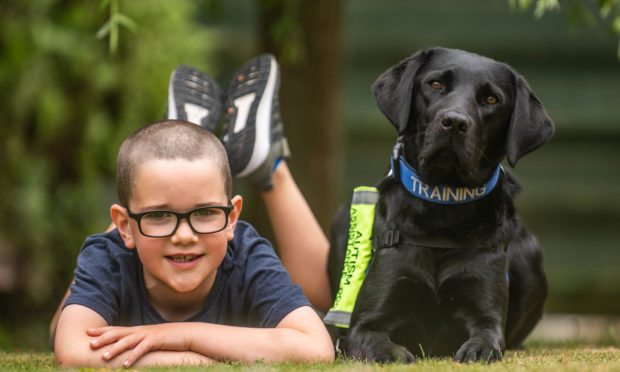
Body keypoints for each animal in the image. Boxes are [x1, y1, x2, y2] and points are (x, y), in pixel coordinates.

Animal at [326, 47, 556, 364]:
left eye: (491, 99)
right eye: (435, 84)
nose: (455, 122)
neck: (443, 203)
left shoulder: (486, 317)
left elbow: (487, 338)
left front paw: (478, 351)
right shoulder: (364, 325)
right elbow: (378, 343)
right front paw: (397, 354)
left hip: (530, 253)